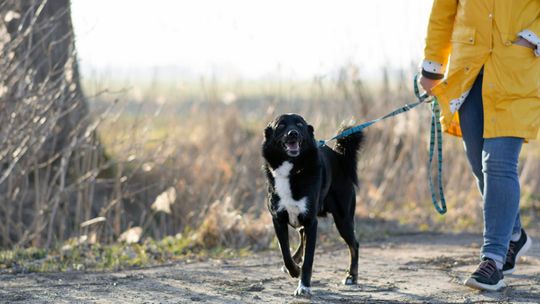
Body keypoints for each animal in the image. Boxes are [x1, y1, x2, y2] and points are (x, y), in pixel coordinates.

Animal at [262, 113, 362, 296]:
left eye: (300, 125)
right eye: (281, 126)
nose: (293, 133)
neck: (292, 170)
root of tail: (339, 156)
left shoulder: (310, 221)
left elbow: (308, 260)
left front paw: (304, 286)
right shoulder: (278, 220)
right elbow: (284, 252)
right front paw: (294, 269)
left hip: (343, 219)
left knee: (354, 245)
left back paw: (351, 276)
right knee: (301, 234)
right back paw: (296, 260)